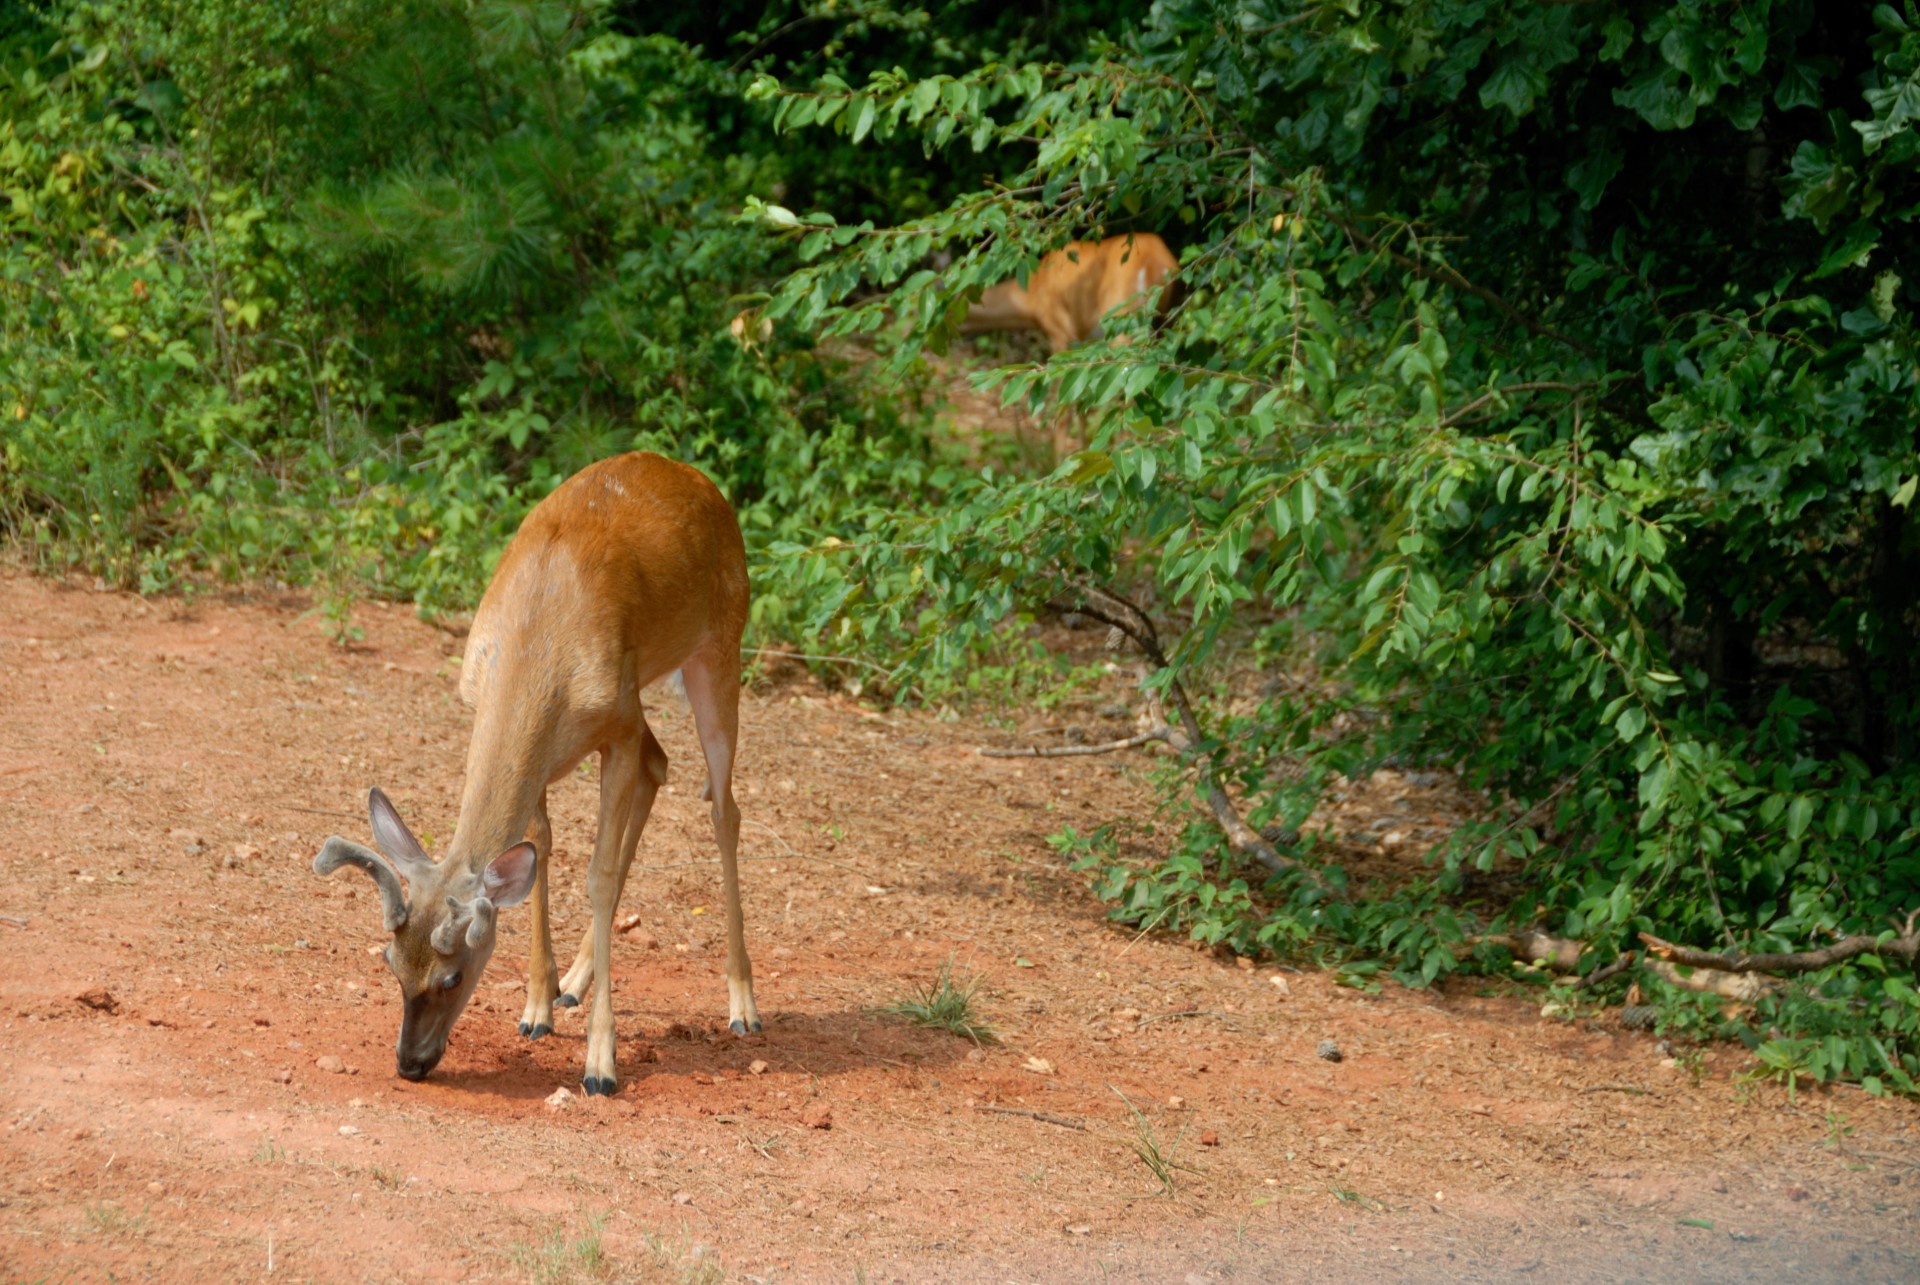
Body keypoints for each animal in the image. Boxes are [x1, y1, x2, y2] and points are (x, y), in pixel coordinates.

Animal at [314, 451, 756, 1091]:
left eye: (452, 976)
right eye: (389, 961)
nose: (410, 1064)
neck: (536, 644)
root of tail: (700, 481)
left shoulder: (616, 724)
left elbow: (597, 875)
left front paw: (600, 1063)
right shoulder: (553, 748)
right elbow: (541, 848)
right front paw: (536, 1009)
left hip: (719, 649)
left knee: (723, 806)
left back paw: (743, 1005)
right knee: (661, 763)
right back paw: (573, 983)